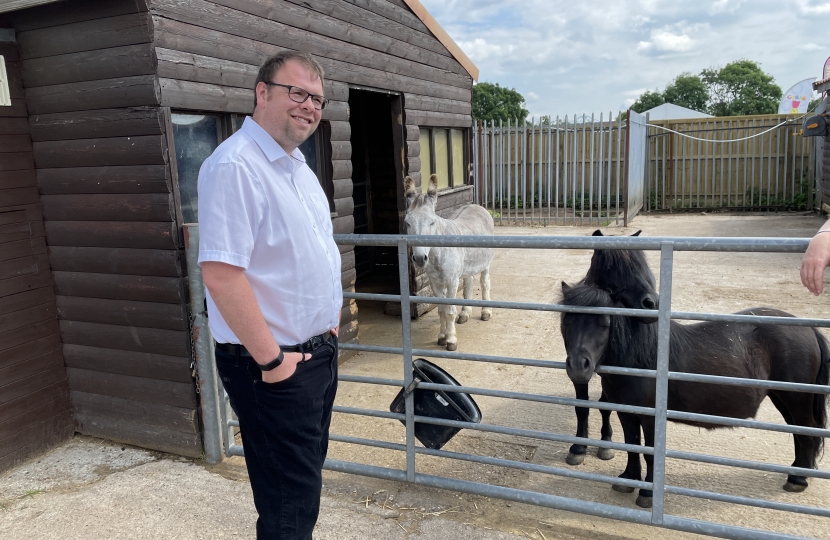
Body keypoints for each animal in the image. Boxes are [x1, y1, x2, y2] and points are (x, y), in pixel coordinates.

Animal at [564, 280, 828, 508]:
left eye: (604, 323)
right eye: (567, 320)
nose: (578, 366)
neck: (641, 359)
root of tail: (809, 329)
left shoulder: (650, 419)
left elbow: (650, 453)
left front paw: (647, 493)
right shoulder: (626, 414)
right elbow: (632, 445)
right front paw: (629, 479)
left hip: (796, 399)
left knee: (807, 432)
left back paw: (797, 480)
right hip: (782, 397)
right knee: (798, 431)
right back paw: (796, 472)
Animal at [568, 230, 660, 466]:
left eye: (639, 265)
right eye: (611, 267)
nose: (651, 303)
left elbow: (605, 405)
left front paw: (606, 442)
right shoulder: (577, 368)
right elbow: (582, 406)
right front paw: (578, 447)